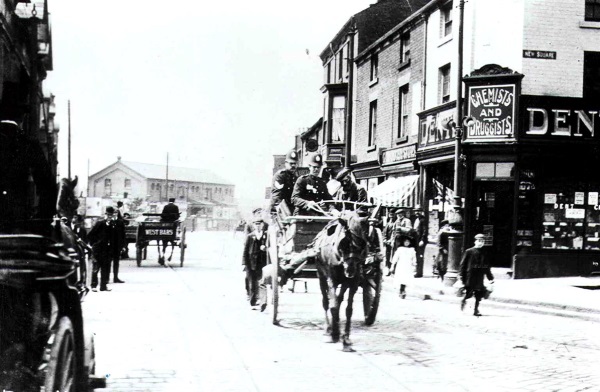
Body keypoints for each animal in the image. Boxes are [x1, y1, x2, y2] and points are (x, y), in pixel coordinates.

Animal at [312, 211, 368, 352]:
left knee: (338, 299)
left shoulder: (353, 283)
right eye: (344, 243)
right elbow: (333, 305)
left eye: (362, 244)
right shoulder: (331, 279)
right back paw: (328, 329)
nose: (350, 270)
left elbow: (348, 309)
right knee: (326, 302)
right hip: (321, 276)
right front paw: (334, 334)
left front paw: (346, 340)